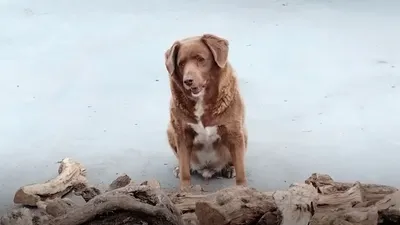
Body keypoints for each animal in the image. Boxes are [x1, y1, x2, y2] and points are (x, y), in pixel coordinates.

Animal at [163, 33, 247, 191]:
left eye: (200, 59)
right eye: (181, 64)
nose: (188, 81)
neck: (201, 100)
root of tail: (207, 169)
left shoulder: (234, 131)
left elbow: (241, 170)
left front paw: (242, 190)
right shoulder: (182, 133)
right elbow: (184, 169)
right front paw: (185, 189)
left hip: (243, 134)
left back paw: (229, 168)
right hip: (170, 130)